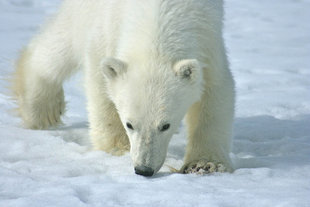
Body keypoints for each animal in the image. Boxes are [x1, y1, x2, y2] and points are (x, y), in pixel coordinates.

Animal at [11, 0, 235, 176]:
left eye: (165, 125)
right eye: (129, 124)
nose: (144, 169)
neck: (158, 15)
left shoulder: (207, 42)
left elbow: (215, 93)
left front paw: (205, 164)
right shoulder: (107, 28)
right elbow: (101, 83)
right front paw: (118, 148)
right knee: (60, 46)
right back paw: (40, 108)